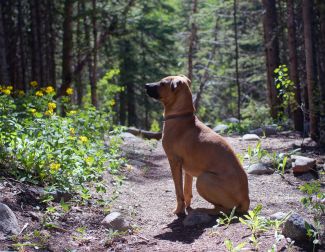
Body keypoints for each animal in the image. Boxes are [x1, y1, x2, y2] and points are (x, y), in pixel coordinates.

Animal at [144, 75, 248, 215]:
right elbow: (186, 191)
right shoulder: (187, 169)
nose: (146, 85)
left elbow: (179, 192)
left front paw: (178, 210)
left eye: (162, 83)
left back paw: (205, 210)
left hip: (203, 179)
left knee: (226, 209)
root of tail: (246, 200)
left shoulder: (174, 162)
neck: (181, 116)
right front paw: (187, 207)